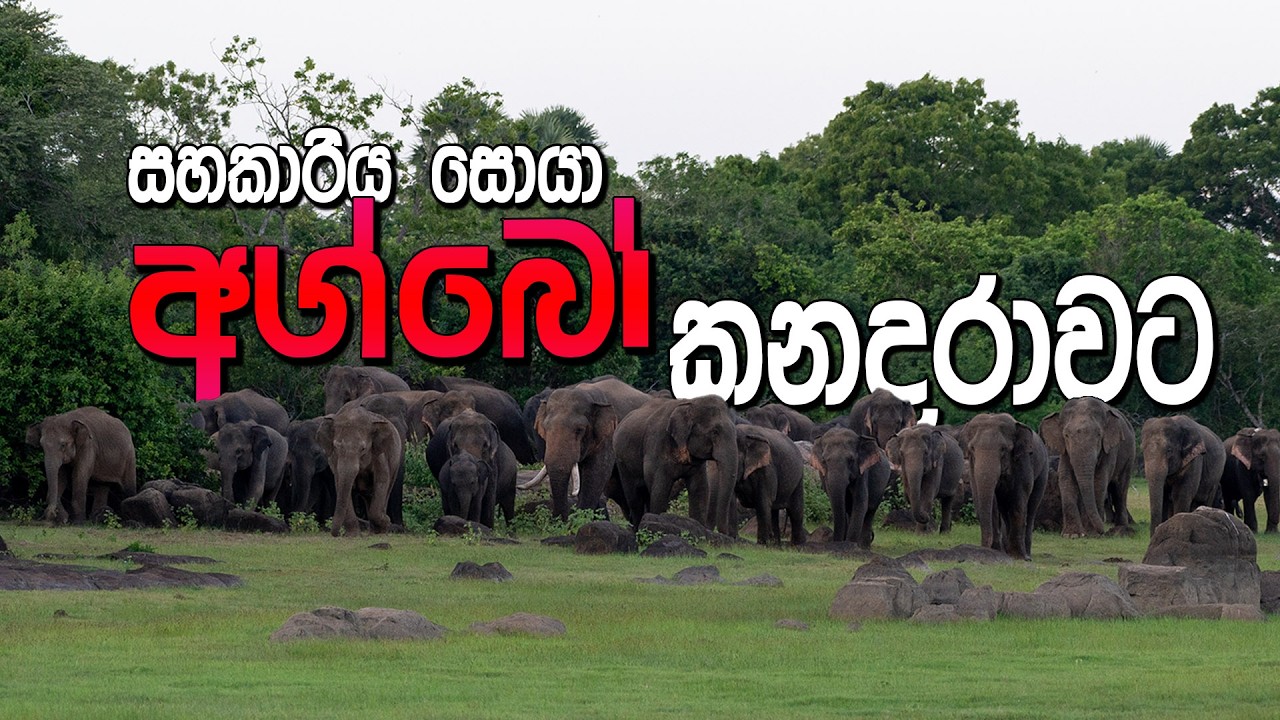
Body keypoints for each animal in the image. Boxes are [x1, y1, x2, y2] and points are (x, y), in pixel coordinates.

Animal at [316, 405, 403, 536]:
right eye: (336, 447)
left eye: (363, 449)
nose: (336, 534)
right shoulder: (335, 460)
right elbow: (340, 483)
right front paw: (352, 535)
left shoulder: (379, 455)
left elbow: (381, 481)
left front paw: (385, 522)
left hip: (395, 463)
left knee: (386, 489)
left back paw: (378, 531)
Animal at [534, 376, 652, 520]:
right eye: (545, 429)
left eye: (579, 430)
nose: (560, 519)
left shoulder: (609, 435)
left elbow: (597, 473)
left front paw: (581, 519)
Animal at [613, 395, 740, 535]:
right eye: (715, 432)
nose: (724, 533)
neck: (691, 402)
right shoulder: (657, 445)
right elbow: (660, 489)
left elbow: (700, 489)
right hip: (622, 463)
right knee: (634, 498)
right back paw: (636, 530)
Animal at [956, 413, 1047, 560]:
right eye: (972, 449)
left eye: (1004, 449)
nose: (984, 546)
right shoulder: (972, 467)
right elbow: (989, 501)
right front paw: (995, 551)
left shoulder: (1023, 461)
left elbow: (1018, 500)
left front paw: (1018, 556)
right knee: (1004, 508)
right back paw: (1007, 551)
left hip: (1044, 470)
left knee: (1032, 507)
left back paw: (1026, 554)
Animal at [1038, 396, 1135, 538]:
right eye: (1066, 435)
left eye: (1099, 435)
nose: (1102, 531)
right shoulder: (1064, 451)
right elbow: (1065, 478)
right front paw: (1072, 535)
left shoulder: (1109, 449)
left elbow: (1100, 481)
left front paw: (1092, 534)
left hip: (1129, 456)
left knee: (1120, 488)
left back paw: (1121, 529)